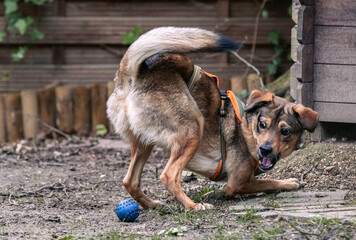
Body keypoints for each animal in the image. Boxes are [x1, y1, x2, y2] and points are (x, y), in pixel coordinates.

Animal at [106, 26, 320, 210]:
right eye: (262, 124)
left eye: (285, 131)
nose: (265, 150)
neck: (246, 131)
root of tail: (132, 74)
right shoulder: (237, 184)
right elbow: (269, 182)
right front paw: (289, 183)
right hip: (193, 129)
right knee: (169, 176)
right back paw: (193, 206)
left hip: (143, 143)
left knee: (130, 181)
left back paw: (151, 204)